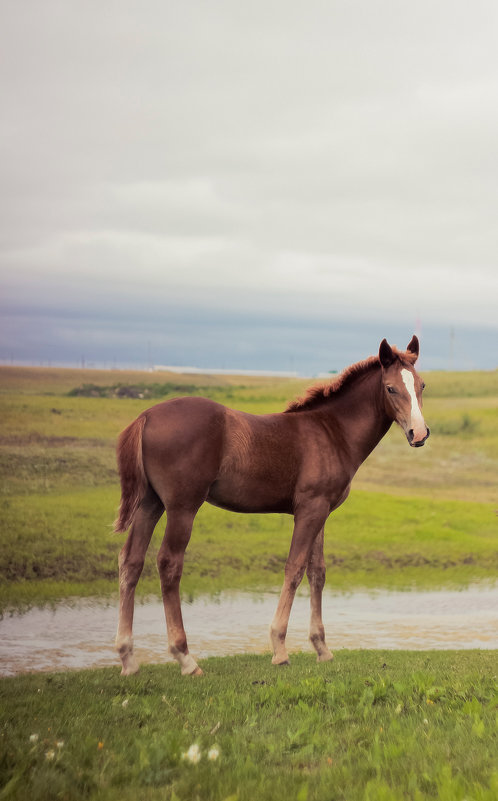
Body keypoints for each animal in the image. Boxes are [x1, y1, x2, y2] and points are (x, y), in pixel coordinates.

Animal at [115, 334, 430, 672]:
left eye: (422, 385)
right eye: (390, 388)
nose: (419, 433)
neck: (331, 432)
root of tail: (146, 416)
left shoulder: (321, 511)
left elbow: (317, 572)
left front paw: (322, 648)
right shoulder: (309, 510)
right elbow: (294, 568)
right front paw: (279, 648)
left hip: (150, 504)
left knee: (131, 562)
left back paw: (128, 658)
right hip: (182, 507)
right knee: (169, 564)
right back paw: (185, 657)